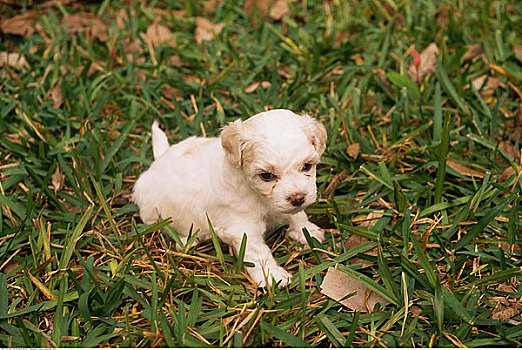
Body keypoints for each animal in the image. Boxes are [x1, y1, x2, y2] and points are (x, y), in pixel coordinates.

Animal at [131, 109, 324, 288]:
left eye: (307, 166)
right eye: (266, 176)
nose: (298, 198)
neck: (257, 194)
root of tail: (158, 160)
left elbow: (297, 215)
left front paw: (307, 231)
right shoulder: (242, 226)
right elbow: (257, 252)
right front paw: (273, 276)